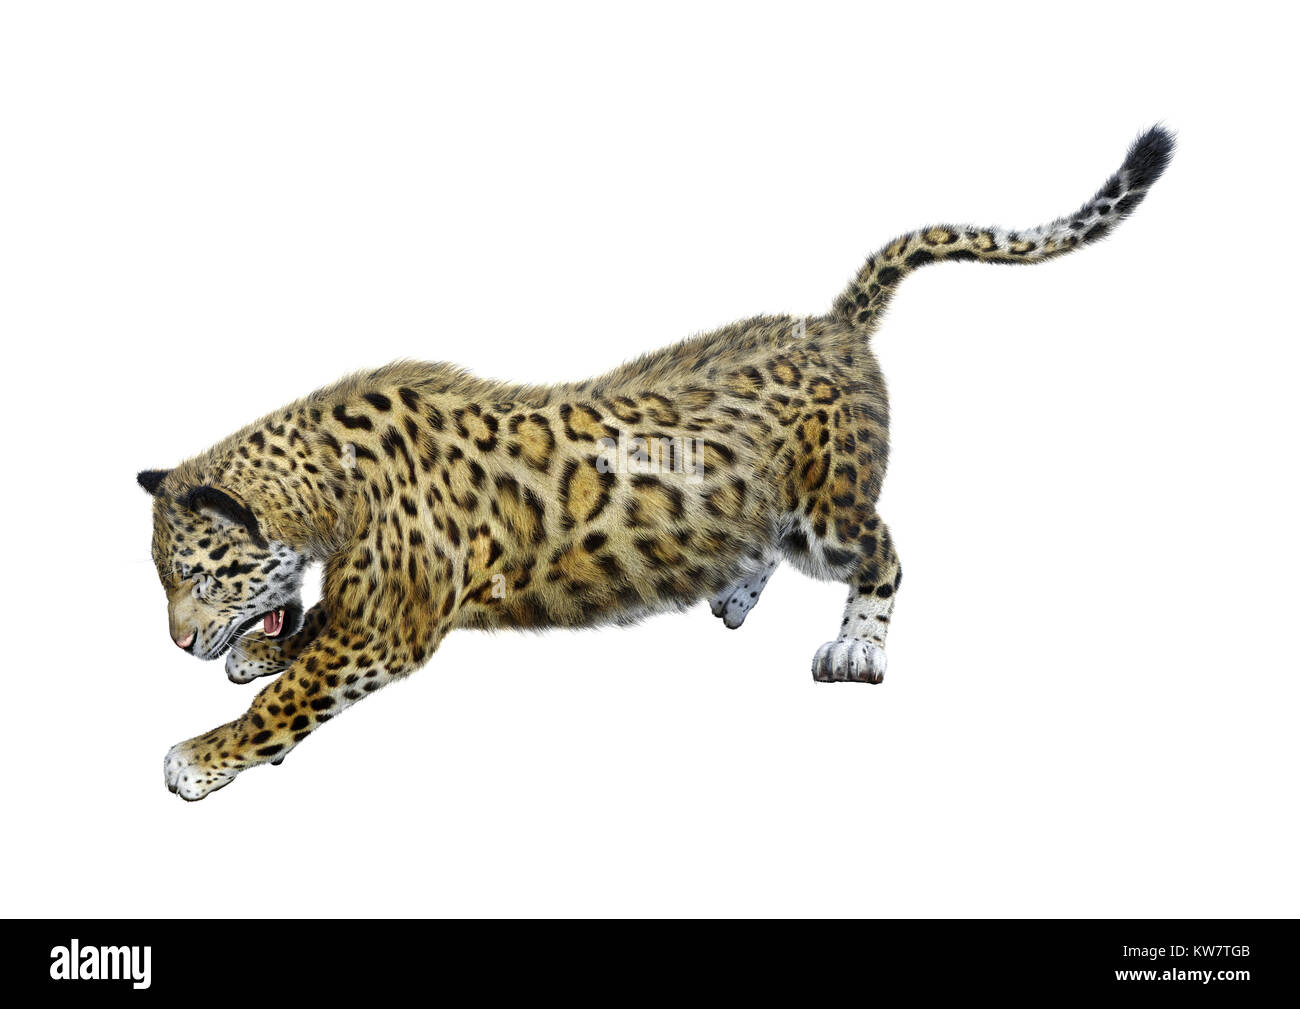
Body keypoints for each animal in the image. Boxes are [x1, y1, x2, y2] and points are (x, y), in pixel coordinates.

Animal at [139, 126, 1173, 800]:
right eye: (167, 580)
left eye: (199, 574)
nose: (179, 643)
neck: (325, 486)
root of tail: (833, 324)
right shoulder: (366, 603)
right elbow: (302, 636)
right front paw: (259, 649)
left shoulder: (388, 623)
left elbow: (292, 698)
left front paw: (201, 754)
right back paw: (733, 587)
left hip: (829, 513)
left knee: (883, 553)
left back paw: (857, 647)